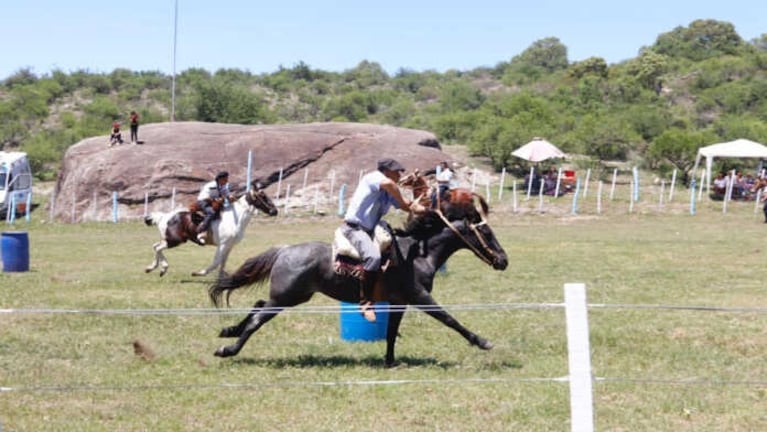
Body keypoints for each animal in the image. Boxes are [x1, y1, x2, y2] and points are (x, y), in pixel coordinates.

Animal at [210, 187, 510, 366]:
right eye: (487, 233)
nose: (504, 260)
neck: (416, 254)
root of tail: (285, 249)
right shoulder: (420, 296)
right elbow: (450, 319)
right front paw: (482, 342)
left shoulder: (399, 301)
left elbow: (391, 332)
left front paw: (390, 361)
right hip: (286, 297)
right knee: (257, 319)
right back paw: (229, 349)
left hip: (292, 296)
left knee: (258, 305)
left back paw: (229, 330)